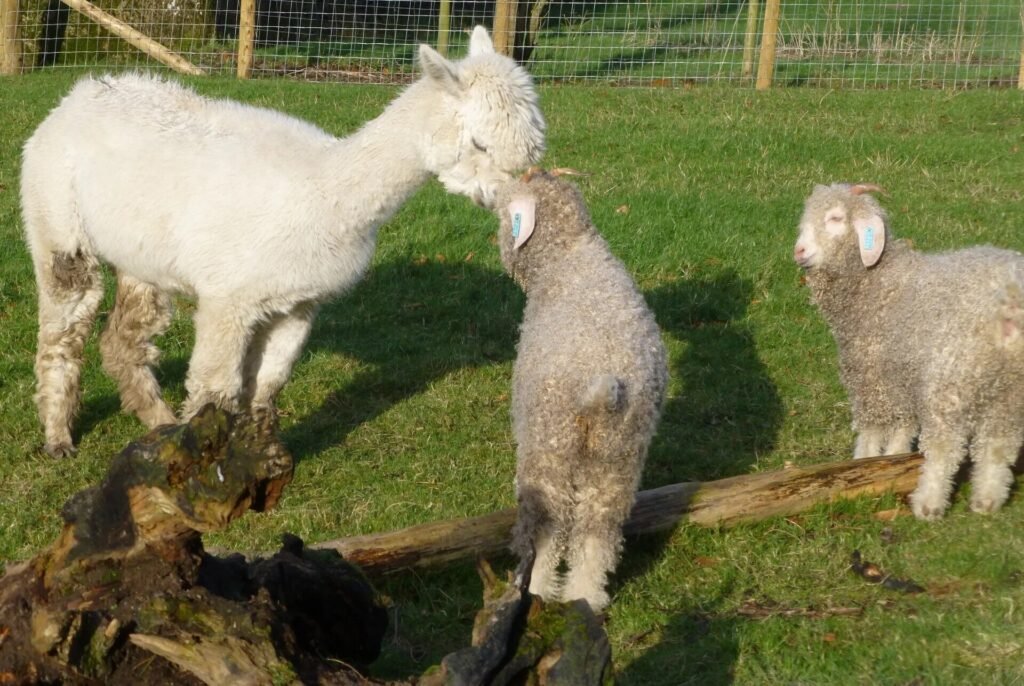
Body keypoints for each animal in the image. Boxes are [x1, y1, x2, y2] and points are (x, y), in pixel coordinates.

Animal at [22, 26, 544, 458]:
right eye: (479, 143)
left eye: (534, 148)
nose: (514, 199)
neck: (325, 191)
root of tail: (79, 94)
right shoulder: (227, 298)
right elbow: (215, 389)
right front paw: (203, 484)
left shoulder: (297, 300)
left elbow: (268, 384)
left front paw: (264, 464)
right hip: (56, 221)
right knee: (62, 332)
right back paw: (58, 439)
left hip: (141, 253)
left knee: (123, 340)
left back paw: (160, 424)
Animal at [495, 168, 671, 610]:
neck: (570, 251)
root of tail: (601, 392)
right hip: (618, 458)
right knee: (597, 531)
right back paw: (584, 597)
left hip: (549, 447)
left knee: (547, 527)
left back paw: (535, 589)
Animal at [794, 182, 1024, 522]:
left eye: (835, 218)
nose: (799, 251)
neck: (878, 282)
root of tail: (1011, 305)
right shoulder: (901, 378)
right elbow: (903, 428)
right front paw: (891, 460)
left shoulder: (873, 377)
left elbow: (872, 428)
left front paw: (863, 461)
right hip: (1010, 394)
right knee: (998, 446)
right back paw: (987, 500)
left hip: (950, 381)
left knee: (944, 448)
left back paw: (928, 504)